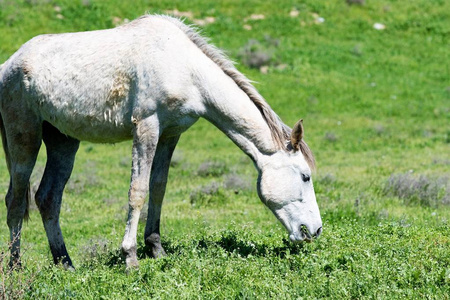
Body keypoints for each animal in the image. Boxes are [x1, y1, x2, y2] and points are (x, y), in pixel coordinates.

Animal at [0, 14, 324, 270]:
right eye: (305, 177)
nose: (315, 230)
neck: (185, 68)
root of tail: (9, 65)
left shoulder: (170, 133)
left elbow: (158, 187)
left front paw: (155, 248)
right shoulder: (147, 126)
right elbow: (138, 191)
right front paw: (130, 257)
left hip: (63, 141)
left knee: (48, 198)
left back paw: (65, 263)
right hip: (24, 137)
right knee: (16, 200)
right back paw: (16, 267)